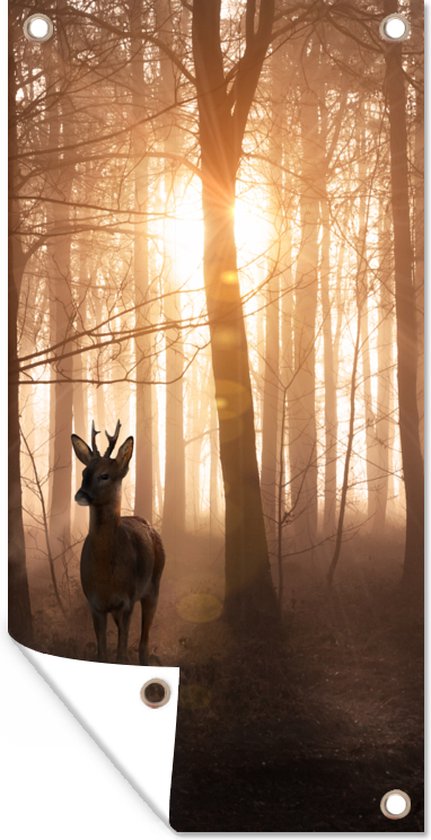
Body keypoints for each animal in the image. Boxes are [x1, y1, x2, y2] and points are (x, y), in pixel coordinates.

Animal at [71, 420, 165, 665]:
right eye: (84, 472)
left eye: (105, 475)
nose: (81, 495)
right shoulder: (95, 603)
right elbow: (102, 654)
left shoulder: (127, 601)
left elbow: (121, 653)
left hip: (154, 586)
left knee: (144, 642)